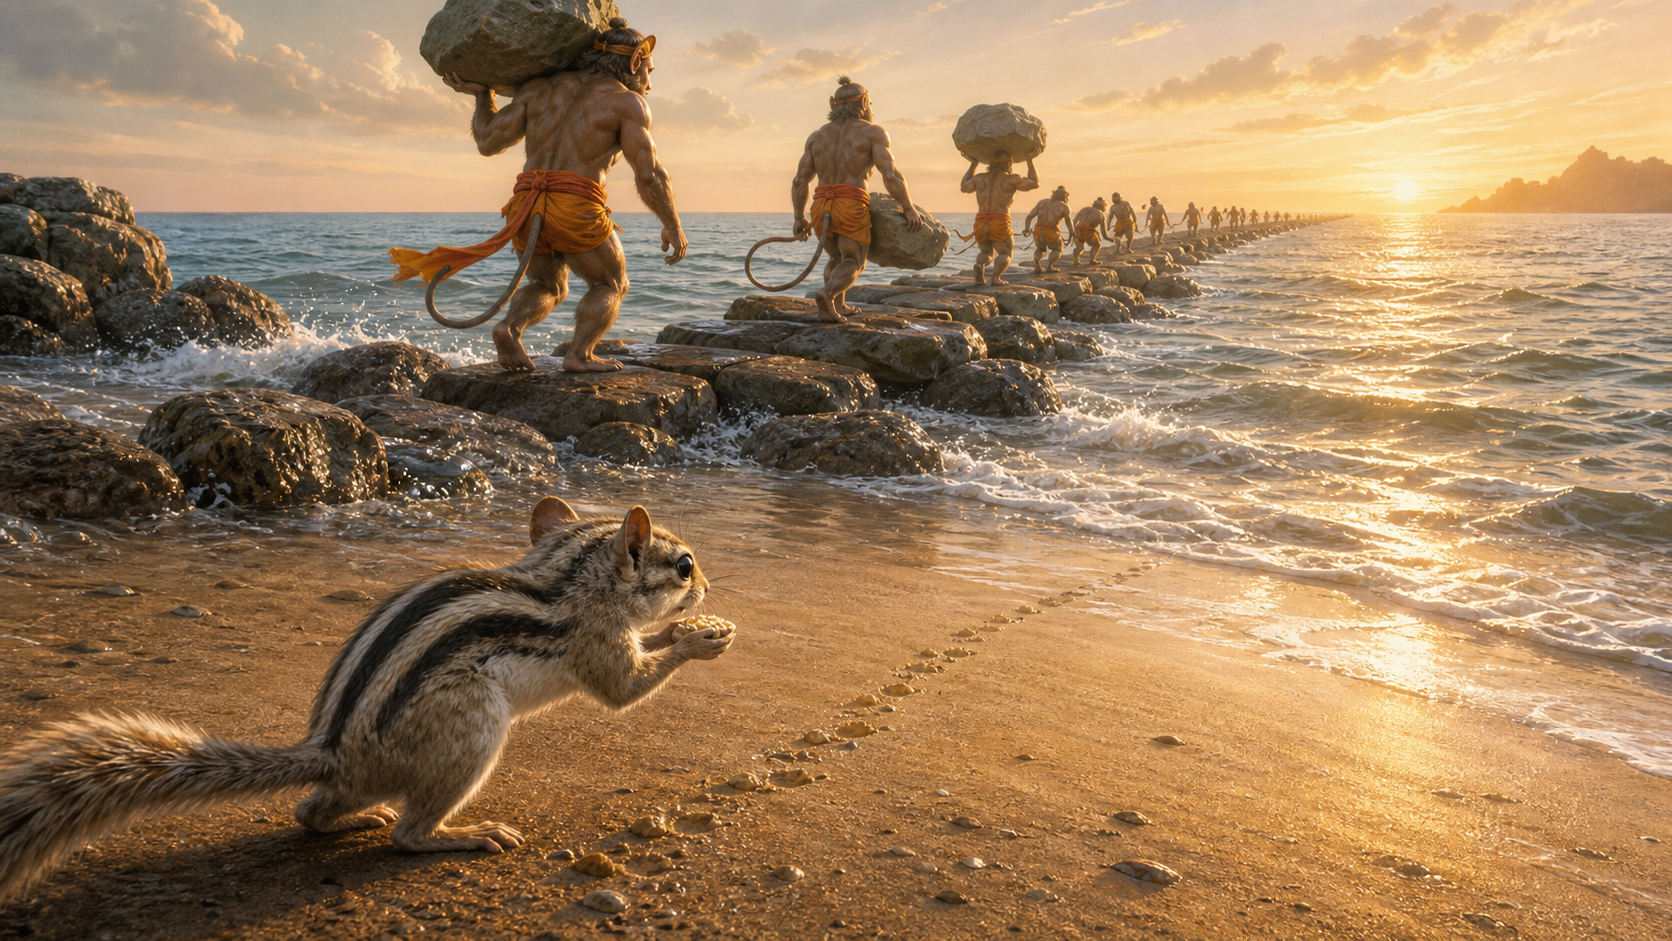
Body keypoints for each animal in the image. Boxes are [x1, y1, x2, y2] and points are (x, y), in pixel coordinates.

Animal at [0, 497, 730, 901]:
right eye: (684, 566)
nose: (707, 586)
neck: (568, 578)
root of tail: (331, 752)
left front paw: (688, 630)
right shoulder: (595, 643)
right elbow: (623, 690)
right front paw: (698, 639)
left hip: (374, 774)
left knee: (309, 811)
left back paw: (352, 818)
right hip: (472, 731)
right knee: (408, 836)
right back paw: (463, 833)